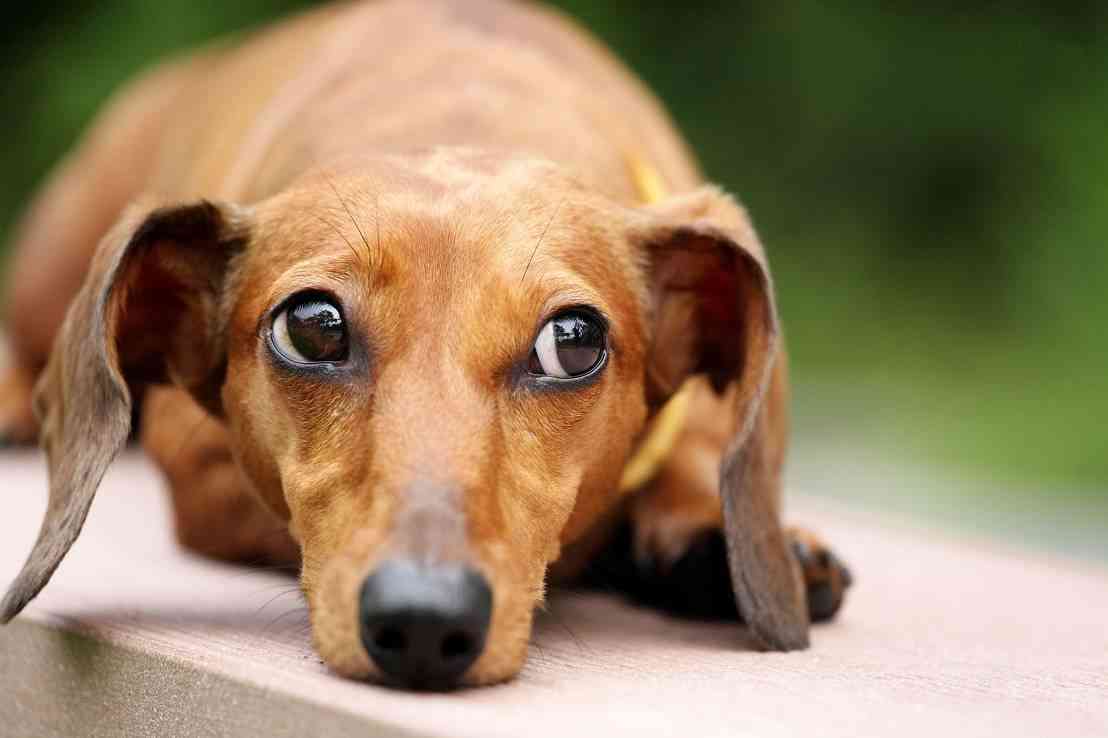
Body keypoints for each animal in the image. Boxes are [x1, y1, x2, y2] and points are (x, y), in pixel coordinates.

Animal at [0, 1, 846, 691]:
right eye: (312, 326)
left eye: (573, 343)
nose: (425, 624)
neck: (461, 104)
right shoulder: (194, 455)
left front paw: (714, 535)